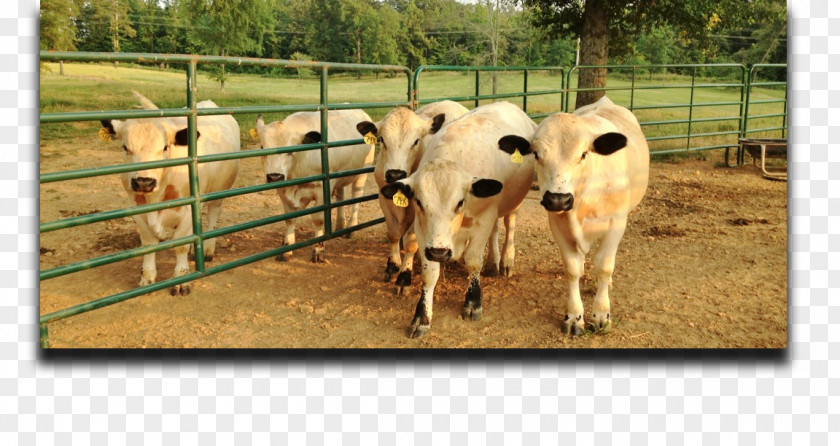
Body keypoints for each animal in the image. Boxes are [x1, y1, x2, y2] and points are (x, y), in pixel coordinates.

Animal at [100, 92, 243, 294]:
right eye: (125, 147)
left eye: (165, 147)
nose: (144, 181)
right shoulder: (137, 209)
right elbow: (149, 244)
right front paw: (147, 276)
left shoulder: (189, 210)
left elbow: (180, 245)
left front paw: (182, 278)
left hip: (218, 192)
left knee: (212, 217)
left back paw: (208, 249)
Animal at [253, 110, 374, 264]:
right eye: (262, 147)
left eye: (290, 150)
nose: (275, 177)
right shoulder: (283, 189)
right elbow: (290, 218)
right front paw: (287, 248)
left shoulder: (322, 189)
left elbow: (318, 219)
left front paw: (318, 250)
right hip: (338, 177)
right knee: (340, 195)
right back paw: (340, 224)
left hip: (362, 173)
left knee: (356, 196)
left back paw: (351, 227)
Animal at [354, 102, 472, 296]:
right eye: (382, 139)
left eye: (416, 141)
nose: (395, 174)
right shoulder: (384, 198)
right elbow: (393, 234)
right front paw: (393, 265)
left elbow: (410, 241)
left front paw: (404, 276)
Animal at [378, 101, 536, 338]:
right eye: (419, 202)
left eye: (460, 202)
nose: (439, 252)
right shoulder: (425, 233)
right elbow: (429, 273)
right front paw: (422, 316)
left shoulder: (483, 219)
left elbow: (473, 261)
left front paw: (473, 302)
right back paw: (493, 262)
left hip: (513, 203)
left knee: (509, 225)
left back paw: (506, 260)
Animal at [516, 96, 648, 336]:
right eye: (536, 154)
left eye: (584, 154)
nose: (558, 199)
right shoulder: (557, 224)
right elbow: (572, 269)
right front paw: (574, 317)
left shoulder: (617, 223)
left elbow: (604, 266)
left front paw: (601, 315)